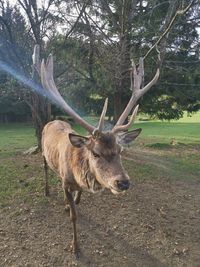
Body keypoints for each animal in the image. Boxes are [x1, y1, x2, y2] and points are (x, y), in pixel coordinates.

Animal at [32, 45, 160, 258]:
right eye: (95, 153)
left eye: (120, 150)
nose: (123, 182)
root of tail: (53, 120)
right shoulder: (66, 182)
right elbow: (74, 215)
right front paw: (76, 247)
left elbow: (77, 201)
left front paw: (70, 204)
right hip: (42, 152)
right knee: (44, 168)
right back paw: (47, 190)